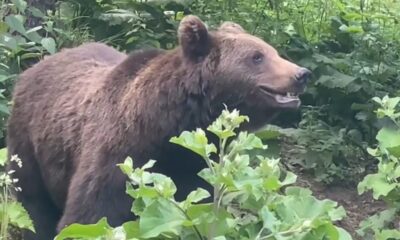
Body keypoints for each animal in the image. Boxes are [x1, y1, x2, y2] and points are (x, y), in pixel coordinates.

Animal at [7, 15, 310, 240]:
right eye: (257, 57)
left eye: (272, 51)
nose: (301, 74)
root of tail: (36, 66)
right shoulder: (116, 156)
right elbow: (90, 217)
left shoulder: (192, 167)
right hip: (28, 141)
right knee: (34, 204)